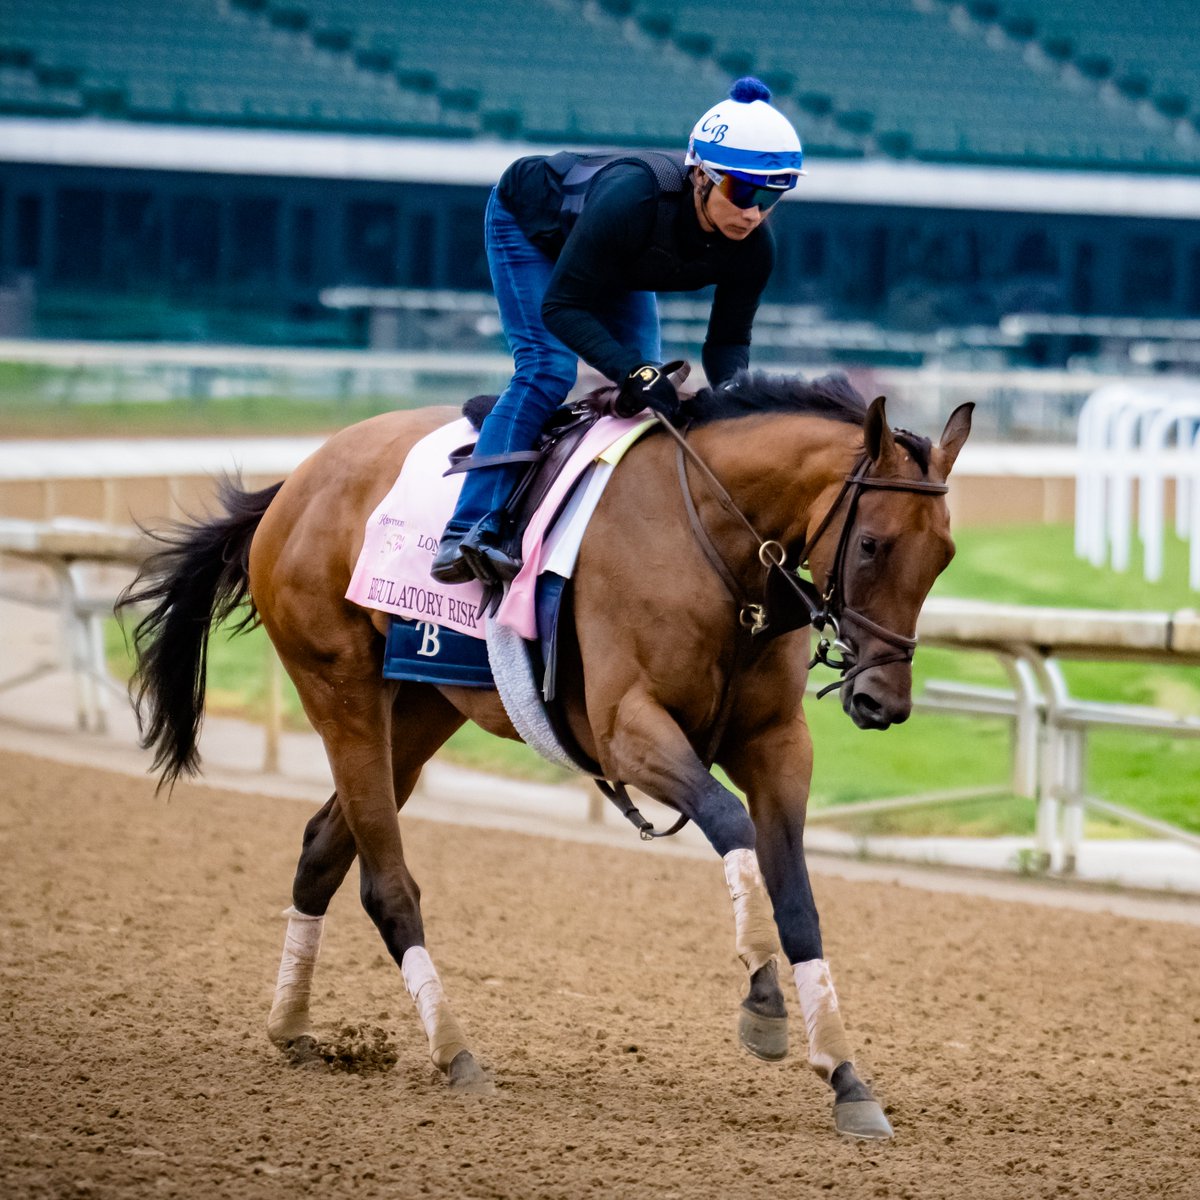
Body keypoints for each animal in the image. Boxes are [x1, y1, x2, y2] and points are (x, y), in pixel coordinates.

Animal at [121, 369, 969, 1137]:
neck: (716, 545)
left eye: (945, 555)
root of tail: (296, 482)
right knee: (386, 883)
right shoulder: (628, 730)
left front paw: (846, 1076)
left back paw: (294, 1028)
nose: (883, 702)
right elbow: (729, 823)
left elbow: (797, 895)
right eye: (872, 543)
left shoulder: (775, 745)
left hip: (422, 708)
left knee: (323, 850)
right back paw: (455, 1052)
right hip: (341, 689)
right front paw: (761, 1000)